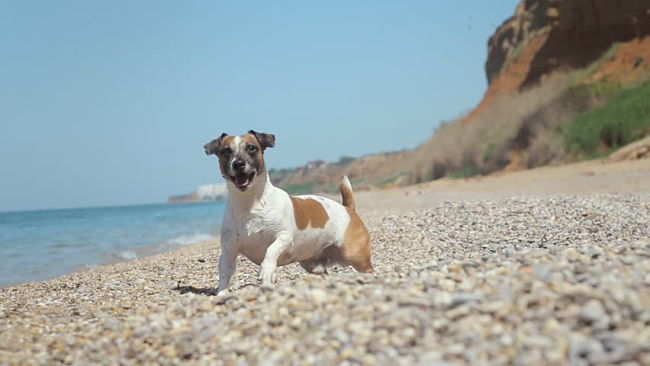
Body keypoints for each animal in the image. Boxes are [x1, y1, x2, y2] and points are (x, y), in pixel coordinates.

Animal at [205, 130, 372, 294]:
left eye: (251, 148)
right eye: (226, 151)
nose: (238, 163)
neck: (250, 204)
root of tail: (348, 208)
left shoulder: (283, 237)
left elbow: (270, 251)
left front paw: (266, 271)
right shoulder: (229, 249)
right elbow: (225, 272)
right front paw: (222, 293)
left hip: (355, 256)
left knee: (369, 270)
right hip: (312, 265)